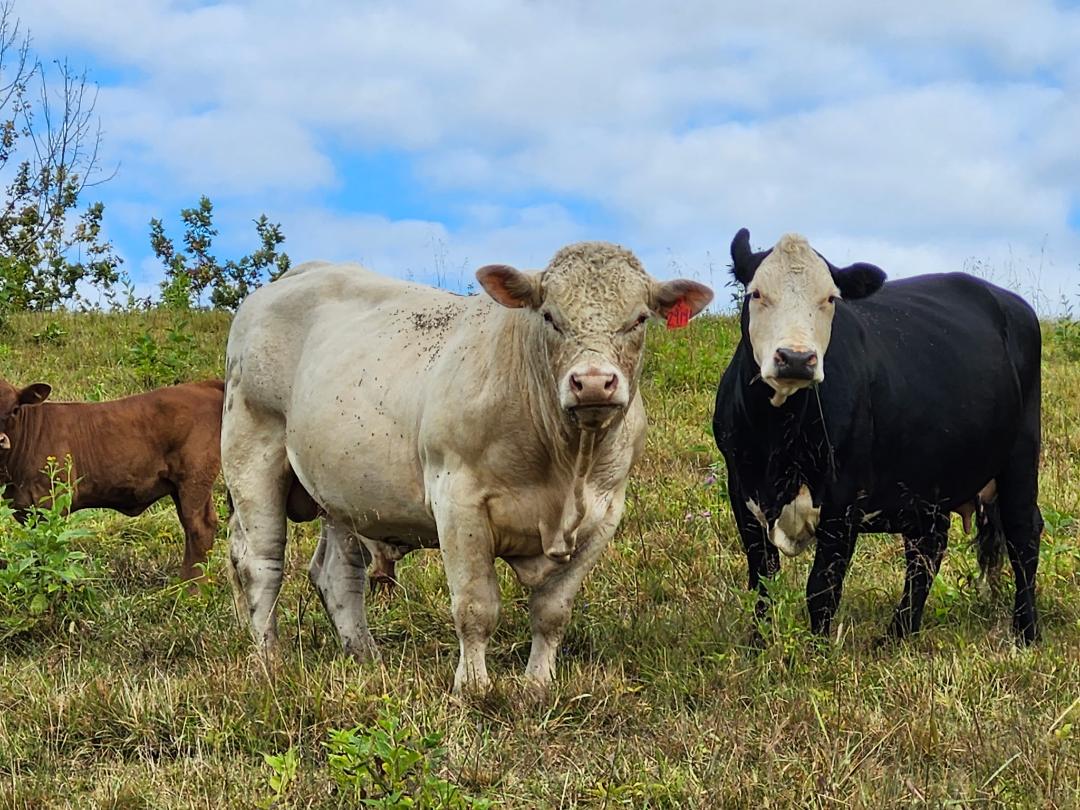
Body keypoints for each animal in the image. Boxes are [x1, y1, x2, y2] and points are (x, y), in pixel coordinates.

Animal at [0, 378, 224, 583]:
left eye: (15, 409)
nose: (1, 440)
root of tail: (202, 385)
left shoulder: (53, 501)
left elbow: (49, 542)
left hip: (194, 478)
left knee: (199, 528)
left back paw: (190, 589)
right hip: (180, 486)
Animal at [221, 244, 713, 693]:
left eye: (639, 319)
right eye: (550, 317)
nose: (593, 382)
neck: (566, 469)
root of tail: (302, 272)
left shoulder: (604, 513)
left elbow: (552, 612)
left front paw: (538, 685)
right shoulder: (459, 502)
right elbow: (475, 607)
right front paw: (472, 688)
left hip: (342, 488)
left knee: (338, 575)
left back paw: (366, 658)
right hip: (251, 451)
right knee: (261, 564)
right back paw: (269, 661)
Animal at [712, 229, 1041, 645]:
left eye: (830, 298)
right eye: (756, 293)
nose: (797, 358)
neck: (780, 441)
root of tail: (1007, 301)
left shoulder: (843, 500)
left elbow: (822, 587)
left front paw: (815, 653)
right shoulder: (742, 489)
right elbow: (762, 581)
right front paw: (758, 647)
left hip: (1020, 455)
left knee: (1023, 534)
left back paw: (1026, 631)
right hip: (928, 480)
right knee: (927, 550)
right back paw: (898, 634)